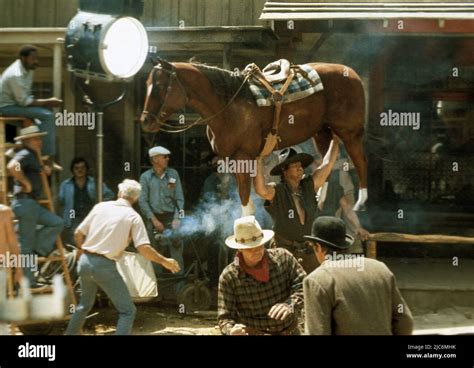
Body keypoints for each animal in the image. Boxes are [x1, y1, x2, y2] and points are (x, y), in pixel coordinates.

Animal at [139, 59, 368, 216]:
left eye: (160, 86)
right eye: (147, 84)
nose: (145, 121)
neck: (228, 105)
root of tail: (352, 73)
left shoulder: (243, 157)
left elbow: (245, 202)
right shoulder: (232, 159)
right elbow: (247, 202)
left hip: (350, 133)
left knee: (360, 161)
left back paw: (360, 201)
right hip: (322, 132)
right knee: (327, 162)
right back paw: (318, 199)